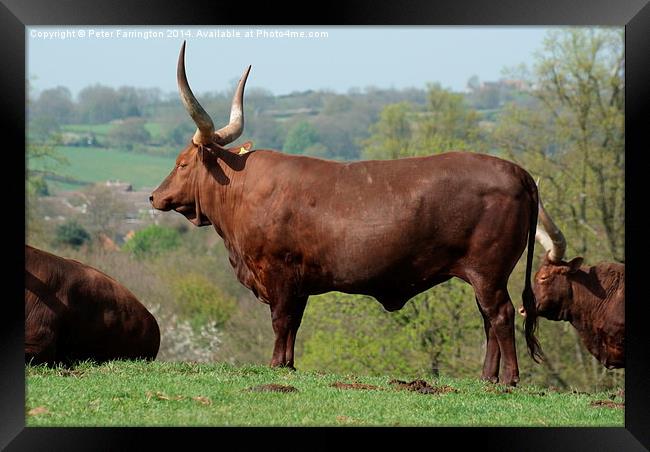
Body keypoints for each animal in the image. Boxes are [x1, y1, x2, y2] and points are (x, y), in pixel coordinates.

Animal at [148, 42, 540, 384]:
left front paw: (275, 365)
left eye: (182, 163)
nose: (154, 196)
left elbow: (280, 321)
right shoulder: (299, 282)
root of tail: (516, 171)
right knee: (488, 319)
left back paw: (509, 379)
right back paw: (487, 377)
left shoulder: (278, 273)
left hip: (488, 271)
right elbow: (294, 324)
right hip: (484, 275)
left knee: (500, 315)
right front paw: (288, 365)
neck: (243, 189)